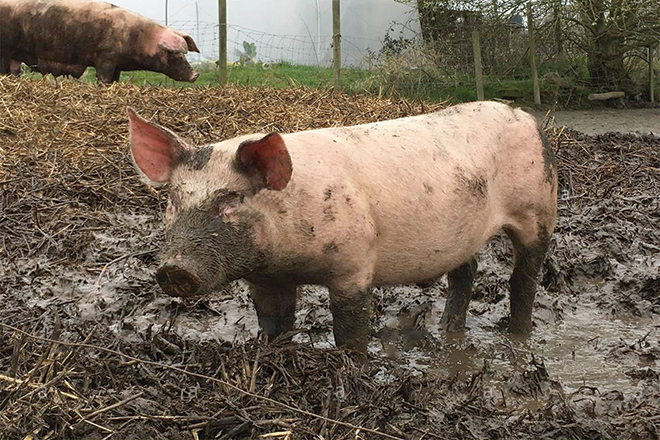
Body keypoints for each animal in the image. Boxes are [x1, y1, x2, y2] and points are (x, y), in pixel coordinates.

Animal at [0, 0, 199, 84]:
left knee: (14, 71)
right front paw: (103, 85)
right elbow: (103, 77)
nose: (195, 75)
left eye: (184, 53)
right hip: (4, 49)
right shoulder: (106, 56)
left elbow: (114, 79)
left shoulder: (117, 63)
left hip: (14, 55)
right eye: (173, 53)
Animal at [127, 101, 558, 353]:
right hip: (462, 232)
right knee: (466, 271)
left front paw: (353, 368)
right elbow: (274, 323)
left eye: (230, 199)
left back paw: (518, 335)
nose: (173, 269)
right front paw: (274, 356)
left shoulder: (355, 265)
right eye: (173, 200)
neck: (286, 261)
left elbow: (350, 329)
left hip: (539, 209)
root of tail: (526, 116)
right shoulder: (266, 279)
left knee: (524, 278)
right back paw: (449, 329)